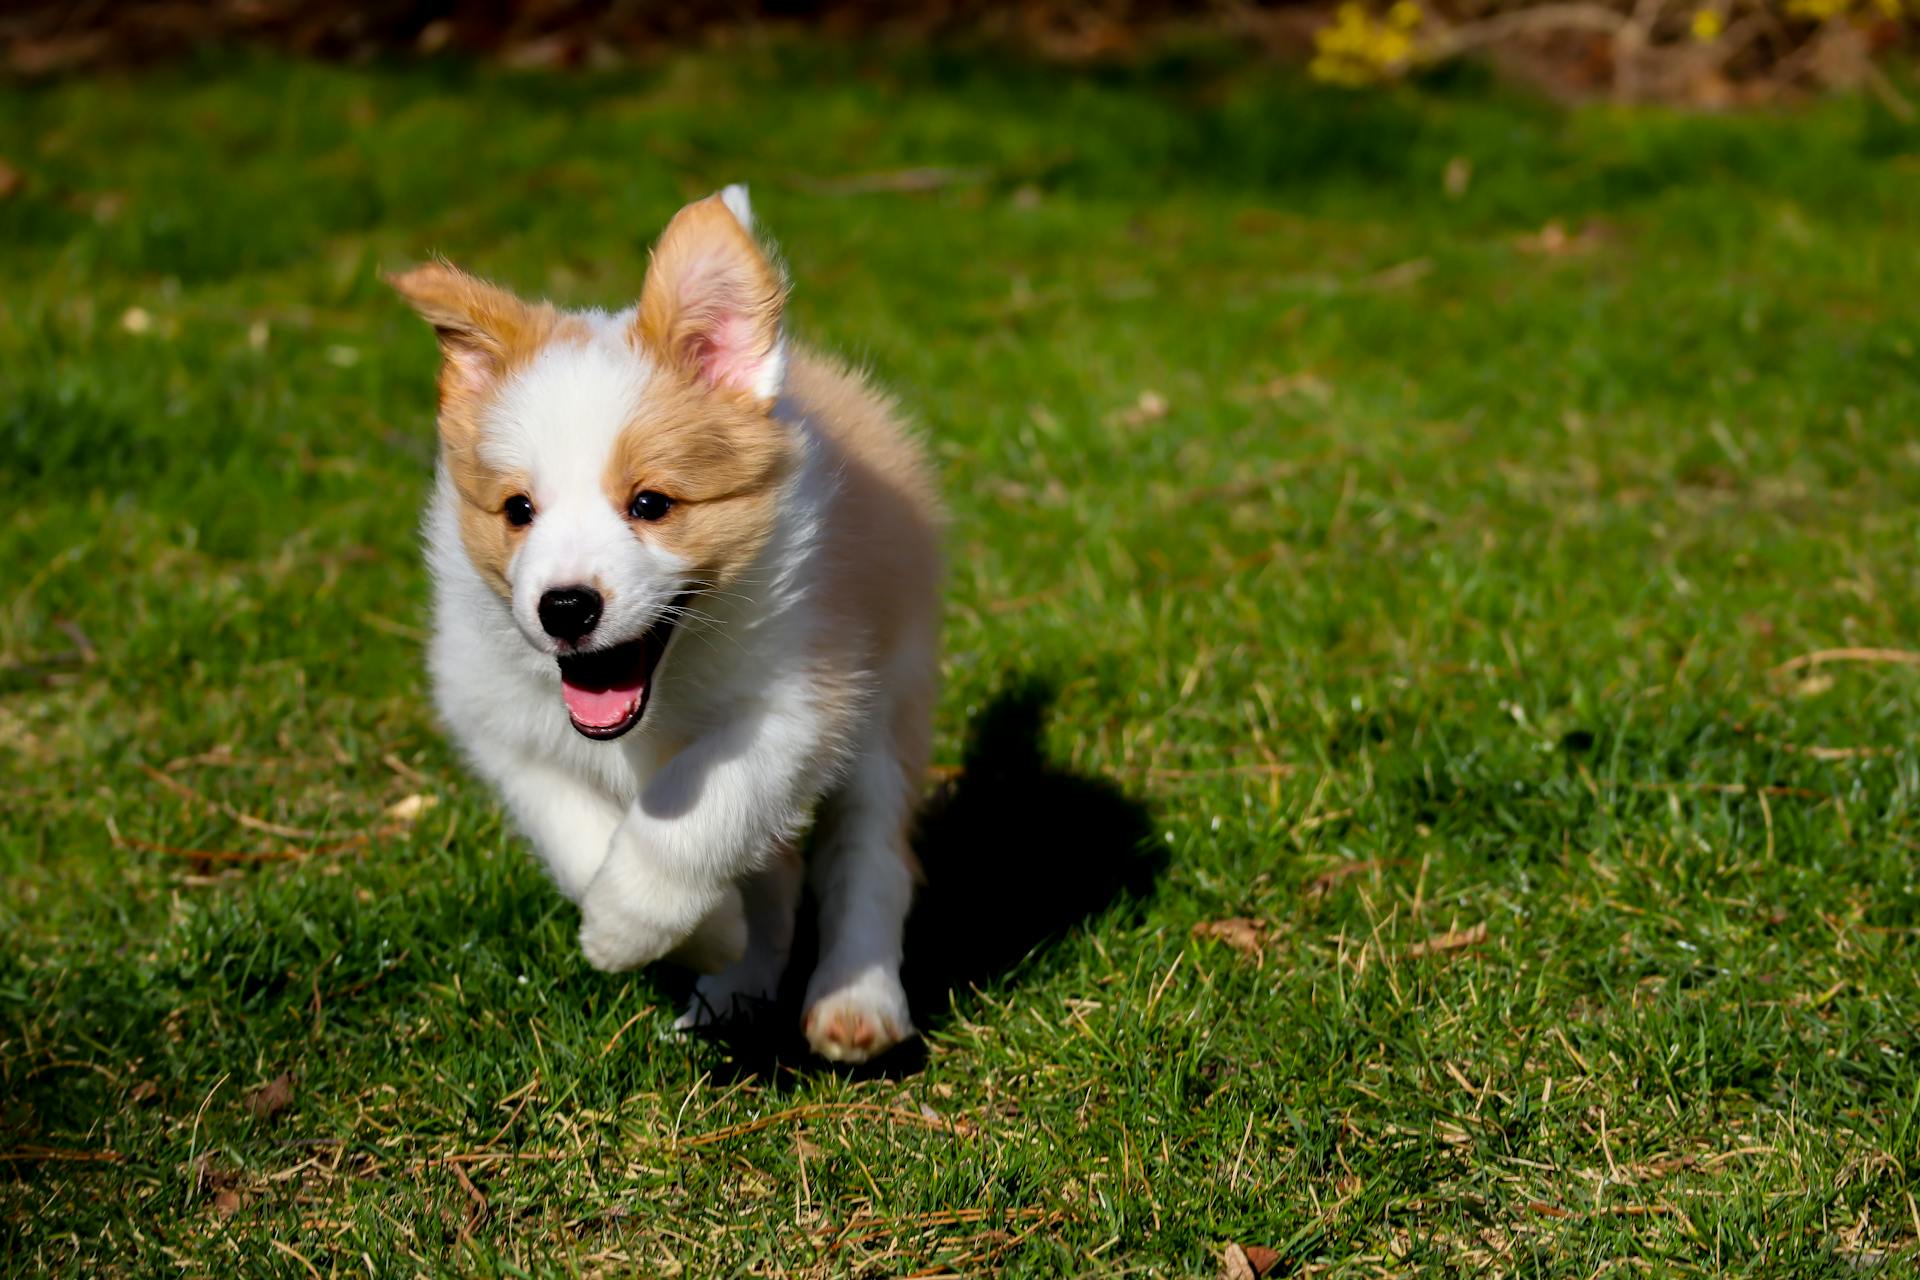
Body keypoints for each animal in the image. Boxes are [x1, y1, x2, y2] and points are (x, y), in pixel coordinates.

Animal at [395, 182, 944, 1059]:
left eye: (652, 504)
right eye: (518, 511)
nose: (565, 607)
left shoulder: (798, 704)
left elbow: (692, 810)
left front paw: (627, 928)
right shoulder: (500, 724)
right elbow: (580, 837)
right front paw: (707, 934)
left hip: (891, 697)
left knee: (868, 854)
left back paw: (854, 1000)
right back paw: (738, 986)